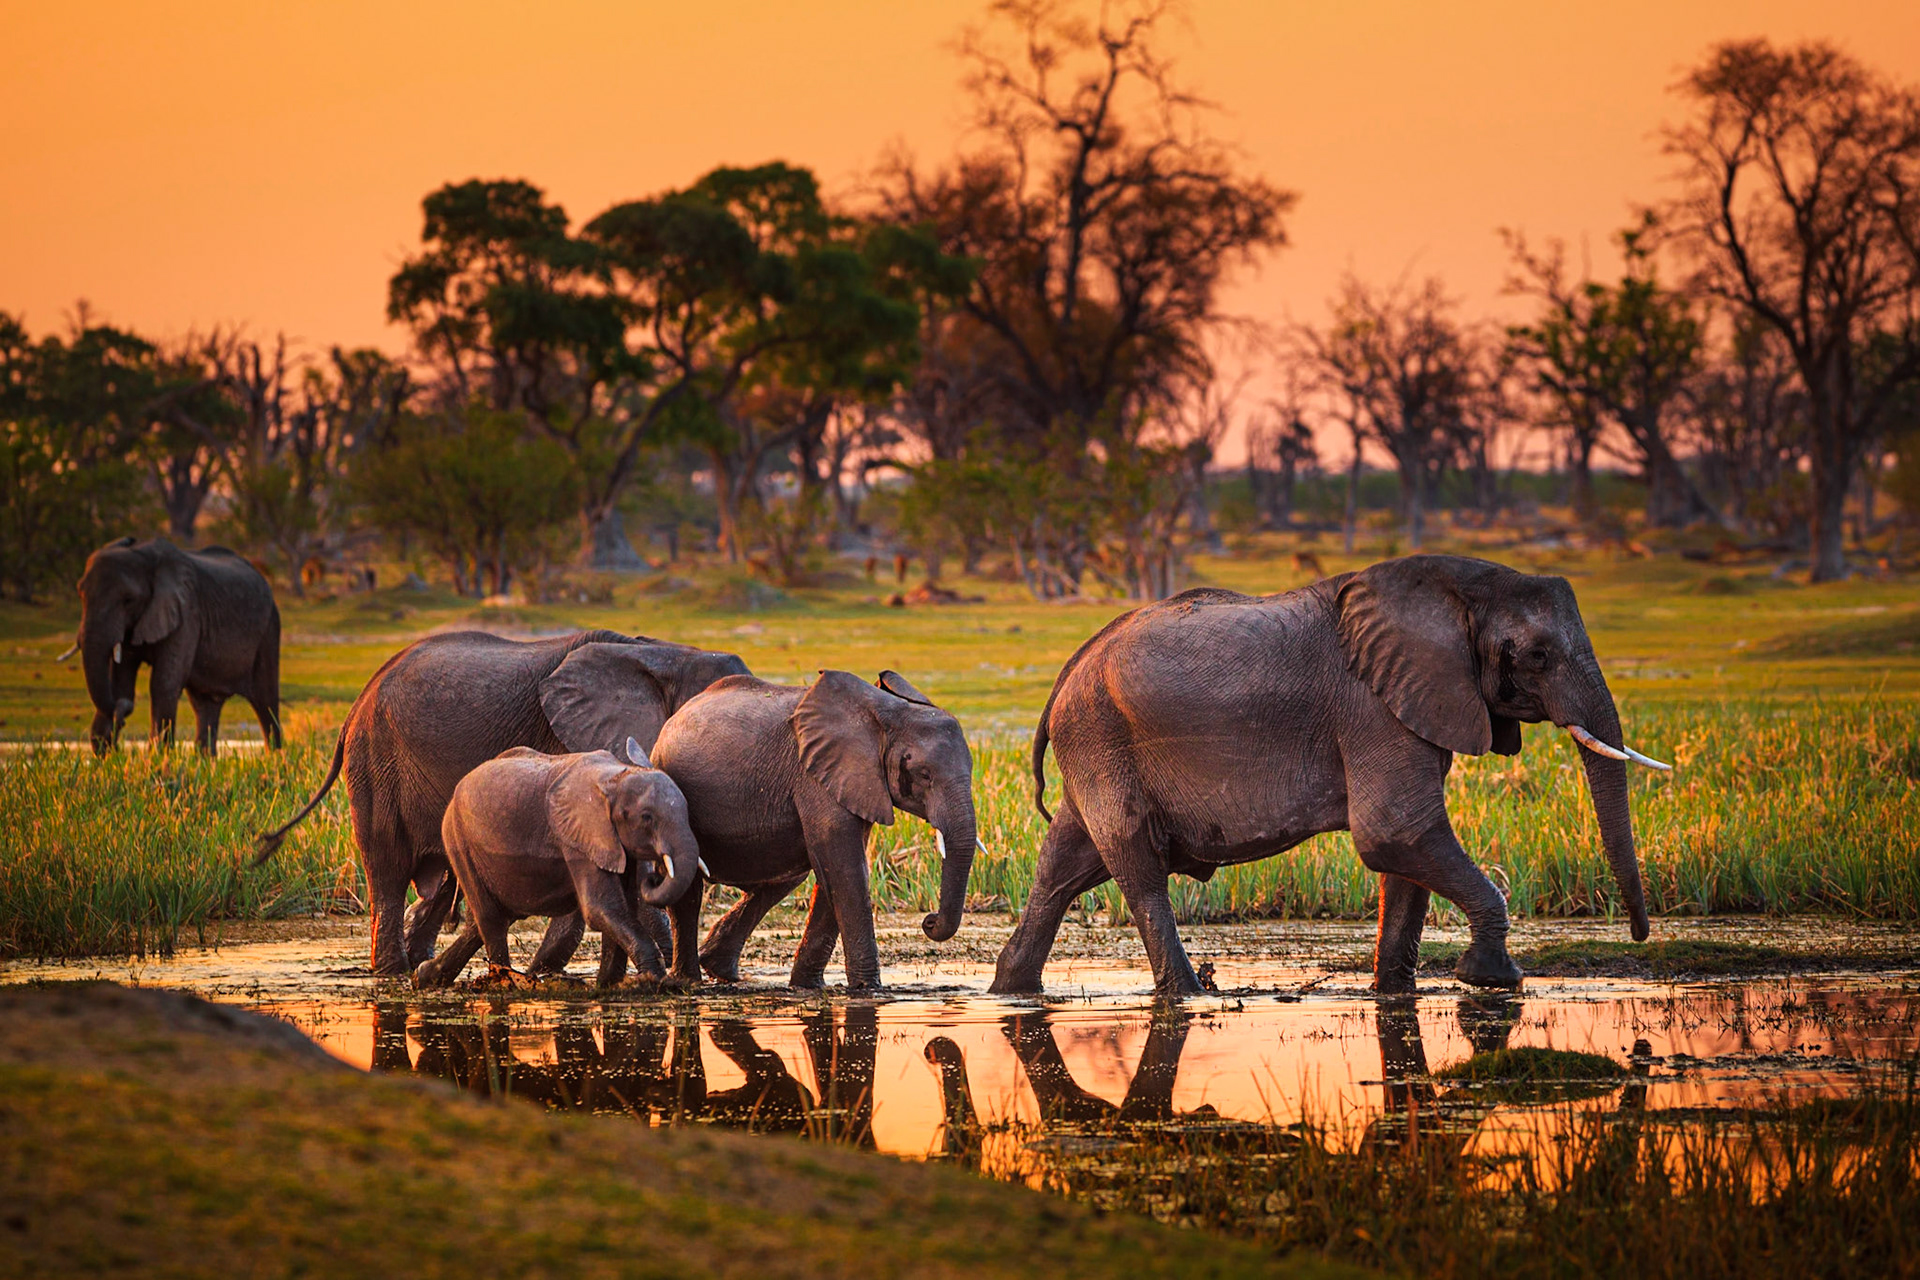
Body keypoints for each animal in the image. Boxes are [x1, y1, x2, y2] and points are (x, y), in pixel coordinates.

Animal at [66, 536, 282, 755]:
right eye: (80, 594)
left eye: (128, 600)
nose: (123, 714)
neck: (144, 554)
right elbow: (120, 682)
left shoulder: (186, 614)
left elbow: (163, 684)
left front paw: (156, 759)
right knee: (206, 705)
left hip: (269, 630)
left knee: (266, 703)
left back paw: (274, 758)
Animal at [411, 741, 702, 989]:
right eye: (647, 817)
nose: (654, 874)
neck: (616, 777)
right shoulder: (577, 839)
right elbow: (601, 908)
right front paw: (653, 979)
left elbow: (622, 908)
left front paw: (609, 985)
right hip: (458, 839)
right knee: (491, 918)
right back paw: (503, 982)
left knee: (488, 920)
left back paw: (423, 977)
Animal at [646, 669, 978, 992]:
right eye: (925, 774)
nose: (929, 921)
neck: (888, 713)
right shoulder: (815, 776)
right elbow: (846, 869)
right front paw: (869, 990)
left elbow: (835, 870)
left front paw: (808, 986)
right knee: (688, 888)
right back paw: (687, 981)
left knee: (784, 878)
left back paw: (719, 970)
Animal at [991, 554, 1671, 999]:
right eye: (1537, 655)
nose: (1640, 935)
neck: (1457, 590)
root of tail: (1069, 668)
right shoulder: (1372, 705)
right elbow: (1395, 832)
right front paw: (1491, 979)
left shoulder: (1414, 702)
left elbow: (1405, 855)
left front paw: (1395, 992)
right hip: (1100, 737)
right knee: (1138, 869)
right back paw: (1191, 995)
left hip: (1094, 746)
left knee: (1064, 865)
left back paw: (1010, 989)